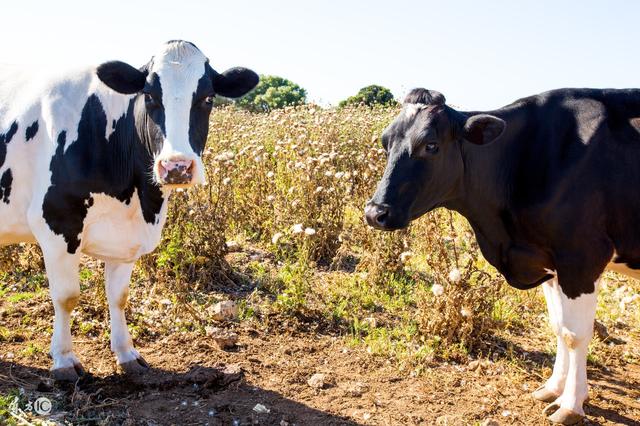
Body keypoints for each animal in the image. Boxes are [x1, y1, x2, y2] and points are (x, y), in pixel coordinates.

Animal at [2, 40, 258, 380]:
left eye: (207, 97)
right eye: (149, 96)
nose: (176, 167)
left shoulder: (126, 237)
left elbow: (119, 297)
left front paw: (126, 354)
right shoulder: (57, 223)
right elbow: (66, 296)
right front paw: (64, 360)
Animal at [364, 88, 640, 424]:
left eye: (430, 145)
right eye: (385, 142)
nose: (375, 213)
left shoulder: (582, 257)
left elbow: (575, 335)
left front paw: (571, 404)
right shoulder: (546, 261)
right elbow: (558, 327)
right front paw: (552, 388)